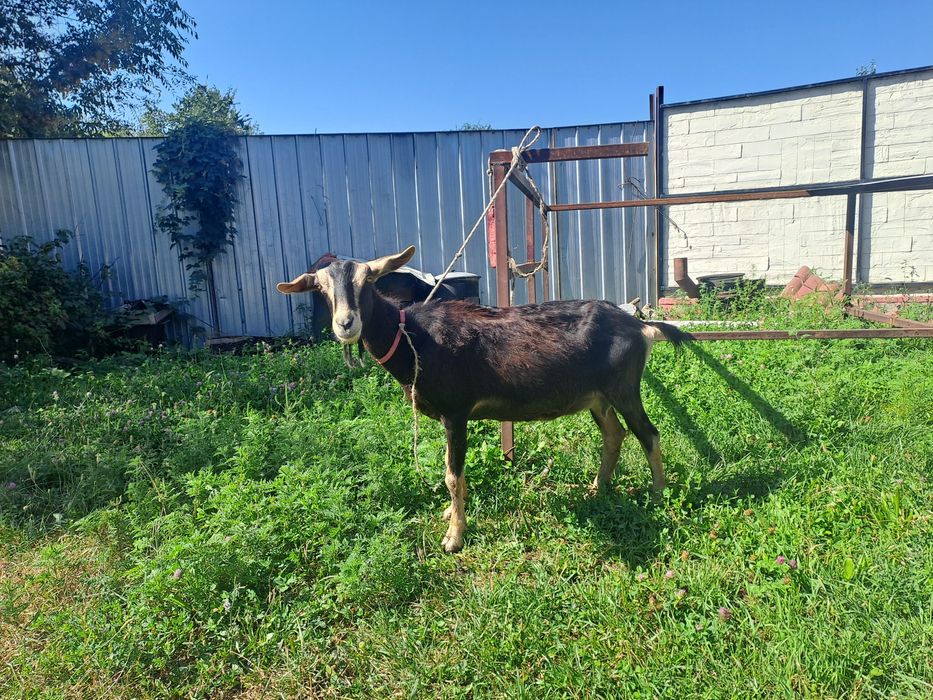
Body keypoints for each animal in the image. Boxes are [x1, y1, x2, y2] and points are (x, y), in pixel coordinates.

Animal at [277, 246, 687, 553]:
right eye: (321, 289)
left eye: (368, 281)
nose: (346, 324)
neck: (415, 339)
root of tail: (640, 326)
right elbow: (453, 473)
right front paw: (450, 515)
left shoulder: (456, 411)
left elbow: (452, 474)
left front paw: (454, 537)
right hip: (597, 397)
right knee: (614, 435)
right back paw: (596, 488)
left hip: (624, 387)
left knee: (648, 433)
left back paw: (659, 496)